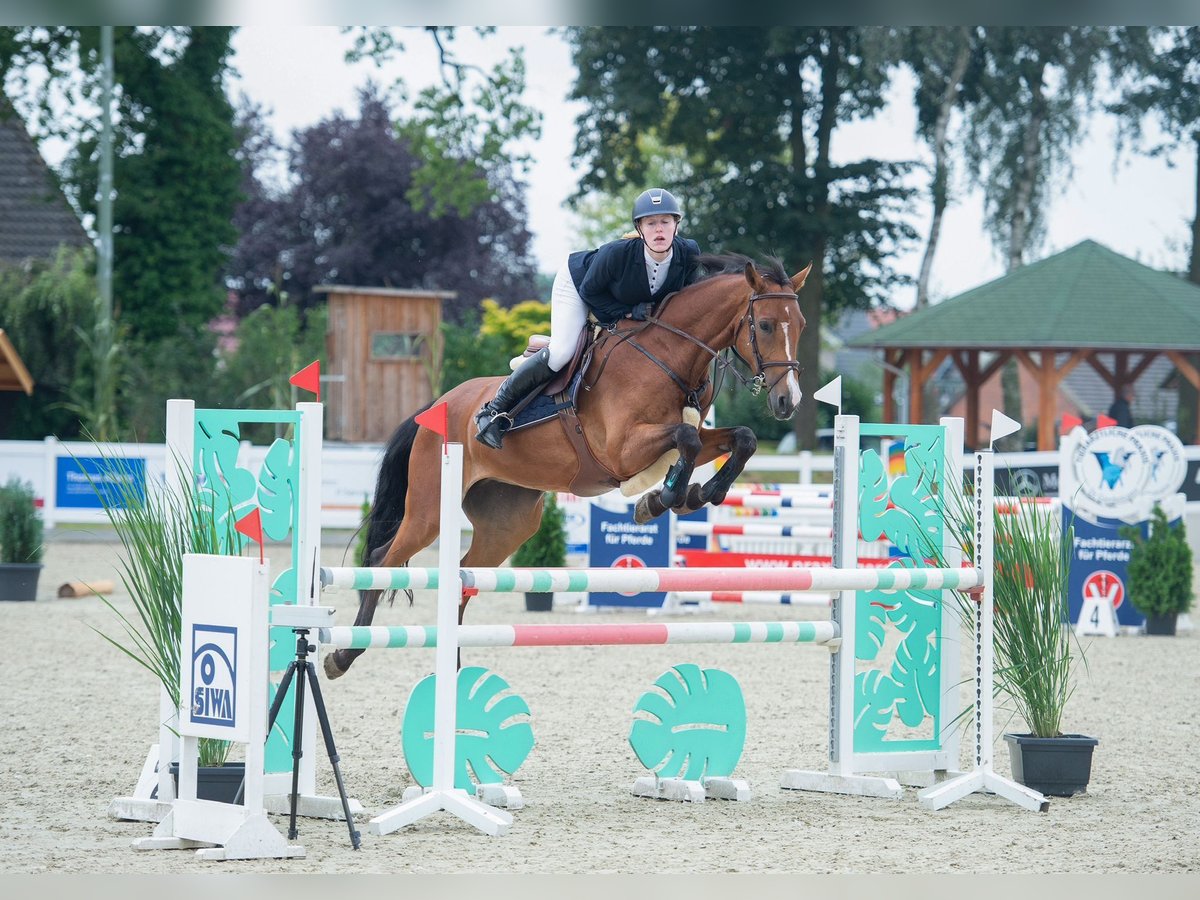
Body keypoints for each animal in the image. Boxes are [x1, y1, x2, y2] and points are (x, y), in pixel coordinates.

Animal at [324, 252, 811, 676]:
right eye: (765, 325)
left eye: (802, 325)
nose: (788, 402)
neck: (669, 356)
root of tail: (437, 406)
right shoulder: (622, 448)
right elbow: (686, 439)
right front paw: (662, 500)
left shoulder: (678, 438)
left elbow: (739, 439)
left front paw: (697, 493)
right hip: (429, 509)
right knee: (385, 558)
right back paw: (343, 656)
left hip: (509, 522)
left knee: (463, 571)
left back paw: (454, 667)